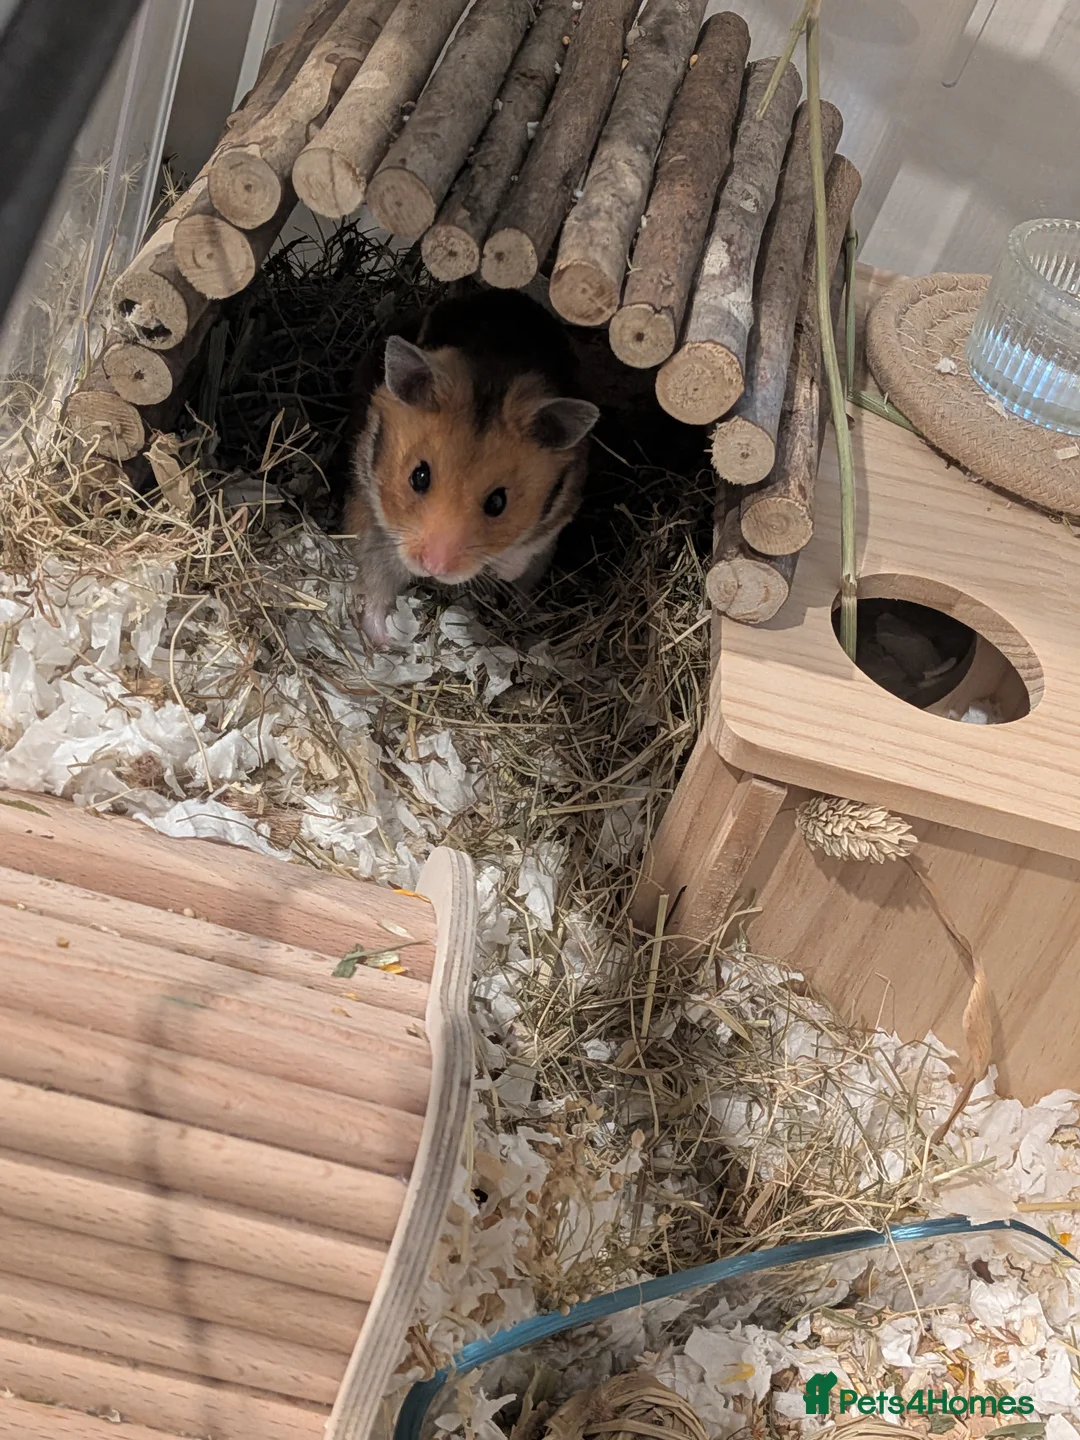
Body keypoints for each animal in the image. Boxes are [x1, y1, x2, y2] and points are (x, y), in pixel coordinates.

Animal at [344, 288, 599, 646]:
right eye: (418, 477)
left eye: (498, 502)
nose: (435, 568)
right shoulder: (375, 513)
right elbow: (379, 575)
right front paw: (384, 640)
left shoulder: (558, 513)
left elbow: (522, 554)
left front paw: (501, 570)